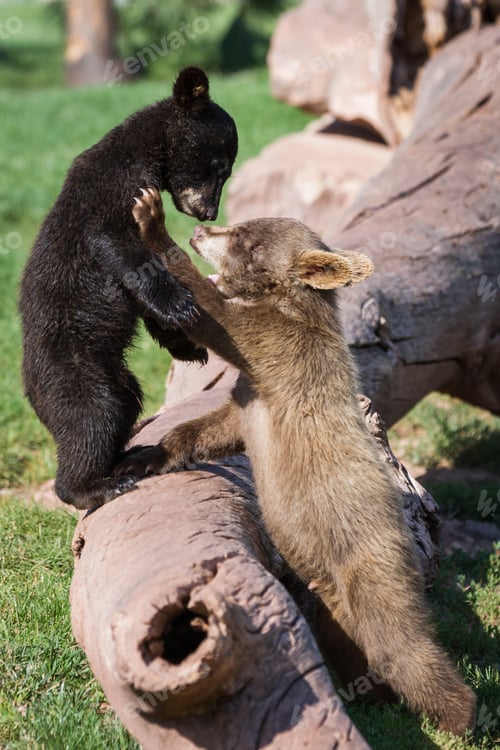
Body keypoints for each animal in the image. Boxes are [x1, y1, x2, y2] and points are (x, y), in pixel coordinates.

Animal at [19, 67, 237, 511]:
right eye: (218, 166)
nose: (208, 211)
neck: (146, 154)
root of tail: (30, 391)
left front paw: (186, 344)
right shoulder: (111, 193)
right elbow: (120, 248)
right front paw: (180, 307)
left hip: (113, 373)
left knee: (121, 404)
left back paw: (125, 457)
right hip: (72, 364)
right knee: (91, 416)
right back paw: (95, 486)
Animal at [115, 187, 476, 737]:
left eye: (246, 239)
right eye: (239, 226)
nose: (200, 231)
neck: (283, 302)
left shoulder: (278, 346)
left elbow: (218, 317)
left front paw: (150, 218)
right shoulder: (252, 396)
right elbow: (218, 427)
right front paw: (150, 453)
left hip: (370, 561)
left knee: (402, 645)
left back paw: (464, 714)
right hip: (331, 598)